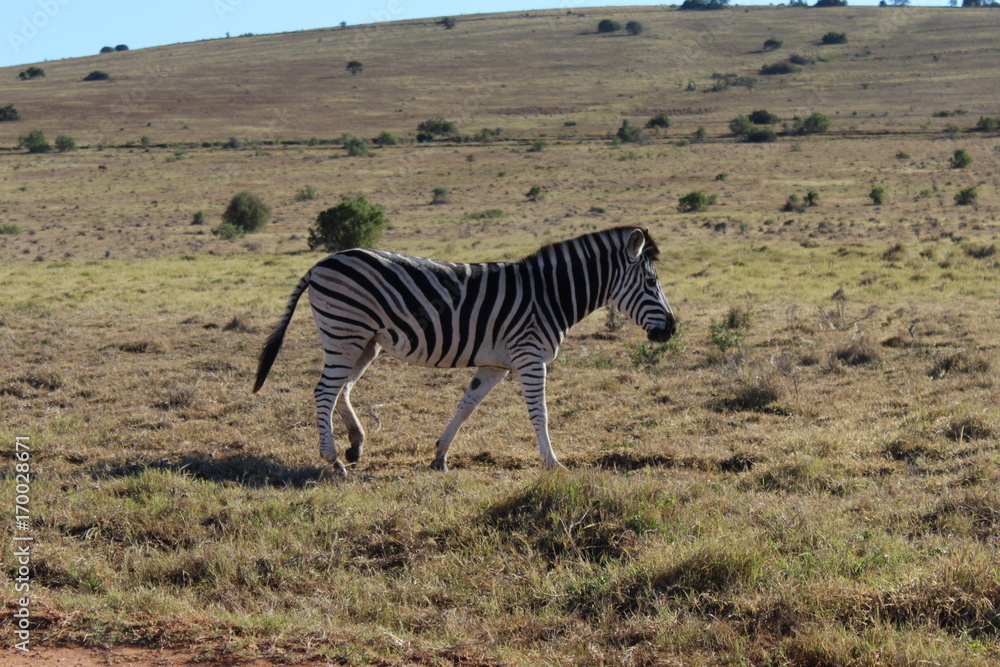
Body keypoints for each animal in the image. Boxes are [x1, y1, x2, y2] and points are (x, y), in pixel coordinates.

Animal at [252, 226, 676, 474]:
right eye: (651, 282)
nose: (671, 329)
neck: (549, 295)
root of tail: (321, 263)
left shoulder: (495, 365)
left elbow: (466, 406)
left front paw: (440, 455)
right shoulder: (529, 356)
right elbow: (540, 414)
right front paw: (552, 463)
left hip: (364, 342)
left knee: (342, 389)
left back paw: (355, 445)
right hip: (345, 332)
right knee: (324, 391)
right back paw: (334, 460)